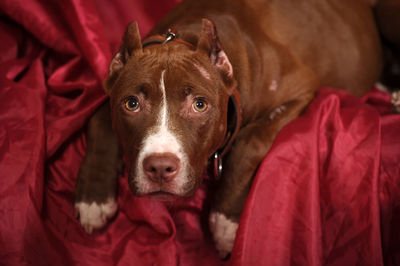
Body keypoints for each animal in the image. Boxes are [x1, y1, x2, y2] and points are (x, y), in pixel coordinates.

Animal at [73, 0, 398, 258]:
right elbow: (99, 119)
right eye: (132, 104)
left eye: (200, 105)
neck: (185, 38)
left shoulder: (300, 90)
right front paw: (93, 197)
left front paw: (226, 222)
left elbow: (250, 140)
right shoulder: (113, 93)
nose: (160, 167)